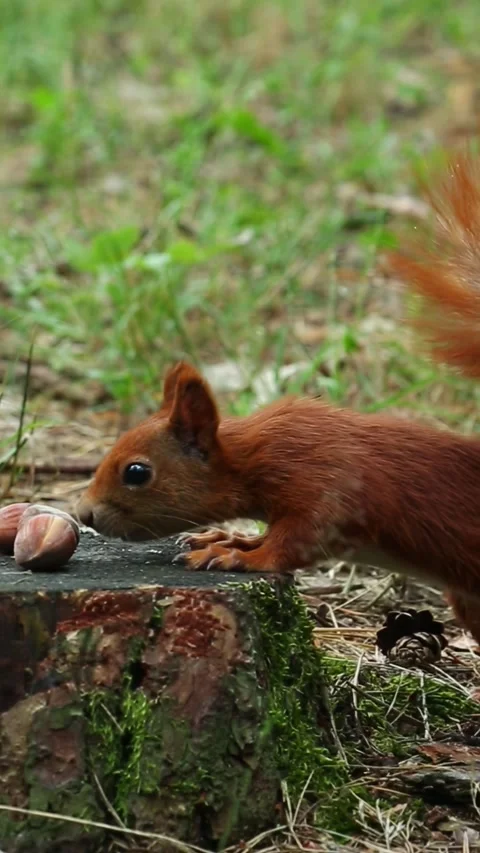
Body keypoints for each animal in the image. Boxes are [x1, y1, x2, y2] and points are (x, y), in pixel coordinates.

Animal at [77, 153, 480, 644]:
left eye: (136, 472)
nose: (84, 514)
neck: (255, 454)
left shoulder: (327, 482)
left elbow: (298, 540)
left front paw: (240, 556)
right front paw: (229, 539)